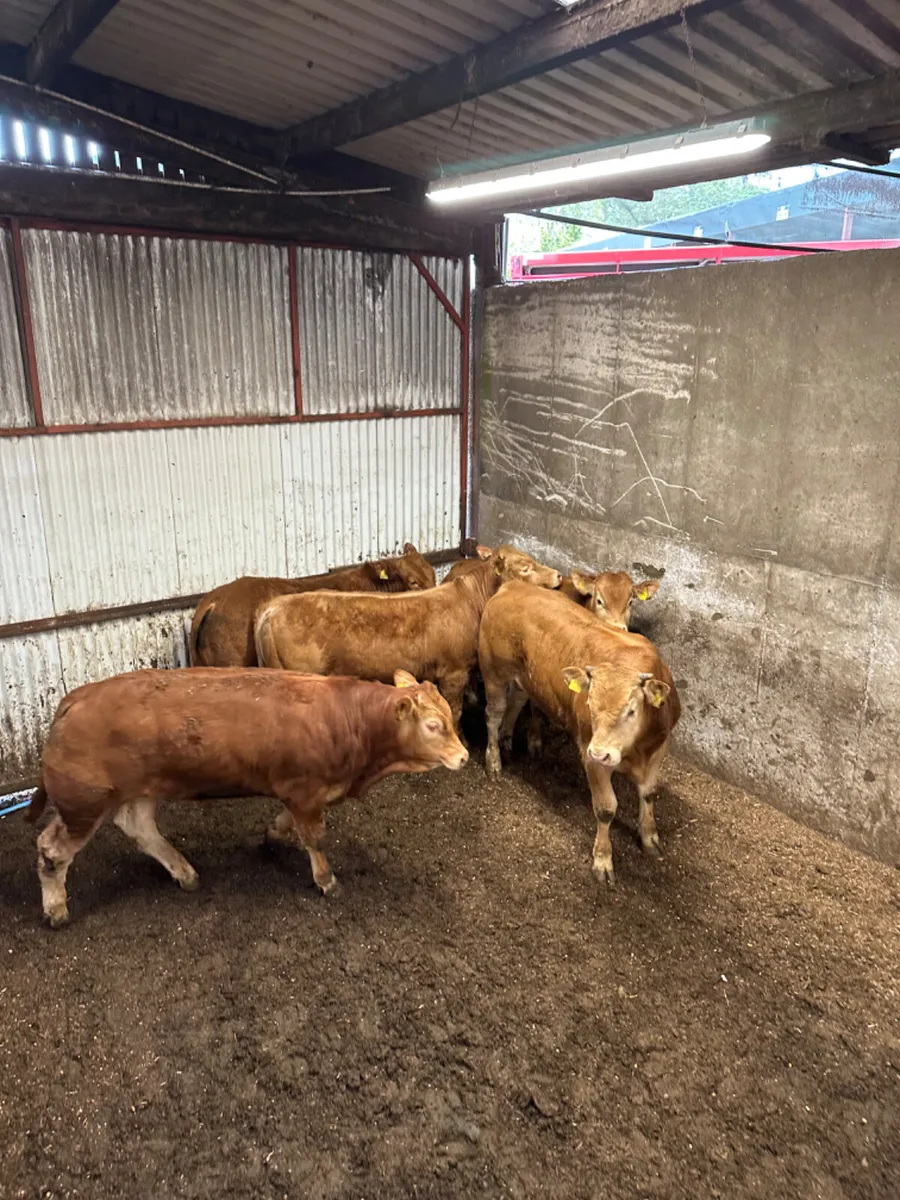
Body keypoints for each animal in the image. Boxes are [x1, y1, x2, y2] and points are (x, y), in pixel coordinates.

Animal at [28, 667, 467, 927]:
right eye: (433, 724)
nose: (463, 756)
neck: (351, 720)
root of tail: (74, 700)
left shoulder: (300, 794)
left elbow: (289, 824)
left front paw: (272, 835)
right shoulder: (306, 791)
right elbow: (315, 838)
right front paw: (327, 881)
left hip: (136, 791)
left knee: (138, 827)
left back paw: (184, 872)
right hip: (84, 802)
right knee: (52, 849)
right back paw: (56, 907)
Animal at [254, 546, 562, 732]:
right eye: (524, 567)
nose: (558, 574)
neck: (471, 601)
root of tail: (272, 608)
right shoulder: (454, 672)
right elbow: (455, 710)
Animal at [478, 582, 680, 885]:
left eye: (631, 710)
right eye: (590, 706)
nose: (601, 752)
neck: (637, 749)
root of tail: (513, 585)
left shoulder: (659, 747)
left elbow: (648, 793)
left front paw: (650, 837)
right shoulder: (590, 753)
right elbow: (606, 808)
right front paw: (603, 860)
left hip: (527, 678)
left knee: (517, 700)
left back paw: (507, 739)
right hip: (493, 673)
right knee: (493, 715)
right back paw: (494, 761)